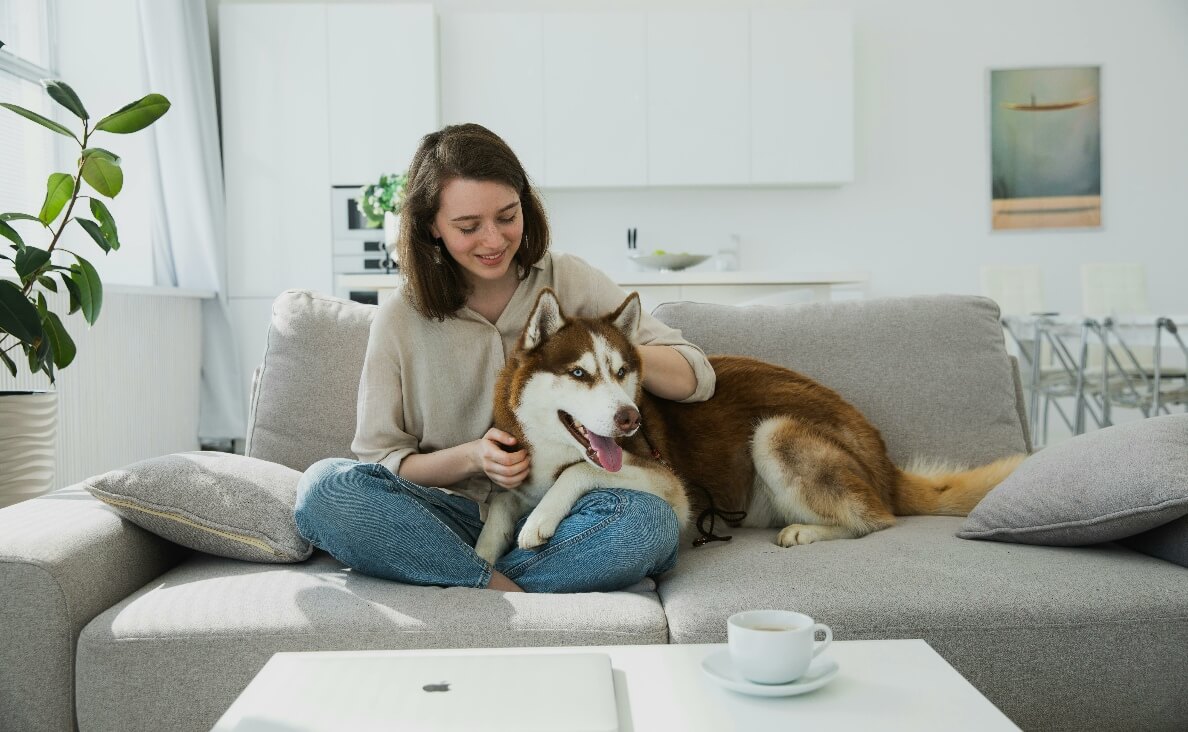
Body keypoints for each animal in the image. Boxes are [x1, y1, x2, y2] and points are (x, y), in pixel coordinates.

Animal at [470, 288, 1021, 563]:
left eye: (622, 371)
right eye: (580, 374)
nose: (630, 417)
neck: (552, 448)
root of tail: (884, 460)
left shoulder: (670, 485)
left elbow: (578, 473)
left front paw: (540, 520)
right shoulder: (517, 474)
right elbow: (500, 503)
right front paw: (481, 554)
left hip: (775, 432)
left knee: (876, 519)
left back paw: (806, 531)